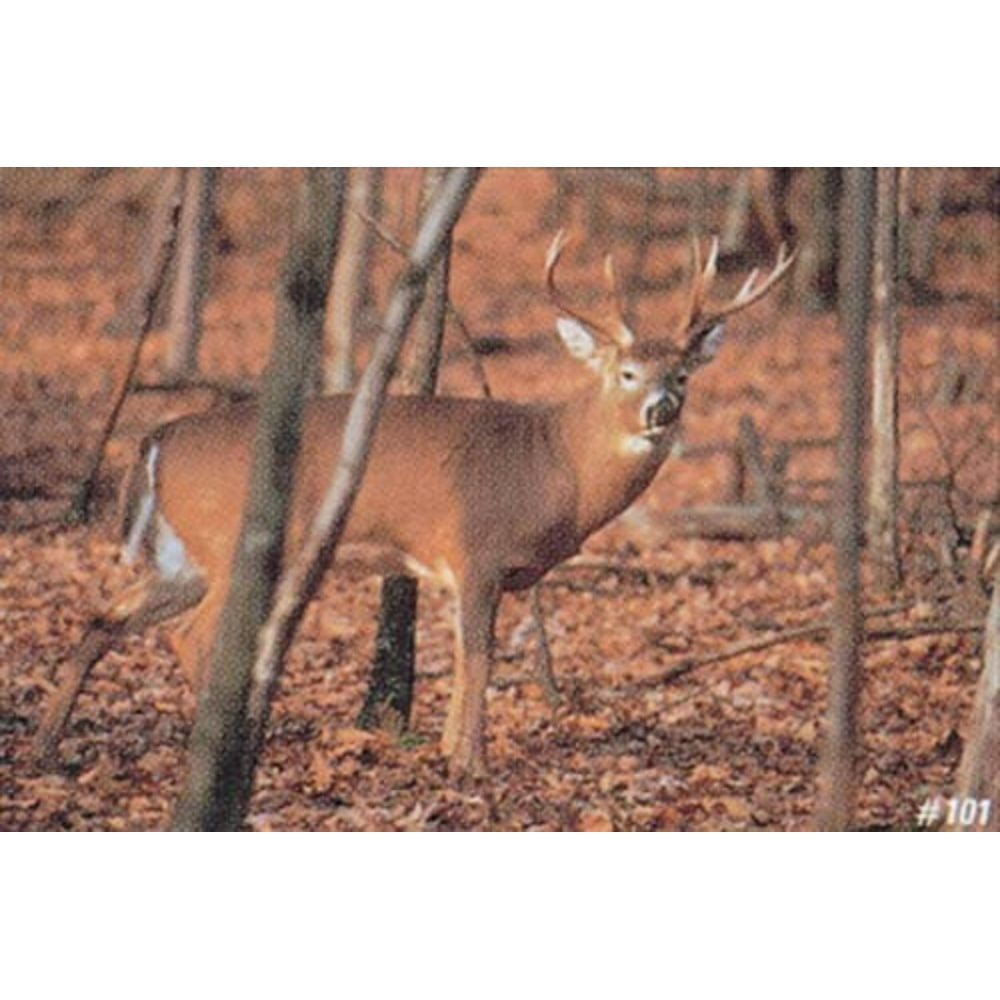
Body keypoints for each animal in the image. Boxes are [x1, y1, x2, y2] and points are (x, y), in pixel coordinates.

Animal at [33, 232, 794, 779]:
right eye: (627, 371)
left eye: (683, 373)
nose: (661, 410)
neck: (554, 464)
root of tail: (159, 436)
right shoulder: (478, 547)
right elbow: (479, 657)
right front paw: (472, 766)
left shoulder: (460, 570)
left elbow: (459, 657)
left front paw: (448, 752)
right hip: (229, 541)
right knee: (186, 635)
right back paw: (240, 742)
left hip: (178, 553)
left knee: (104, 619)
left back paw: (47, 746)